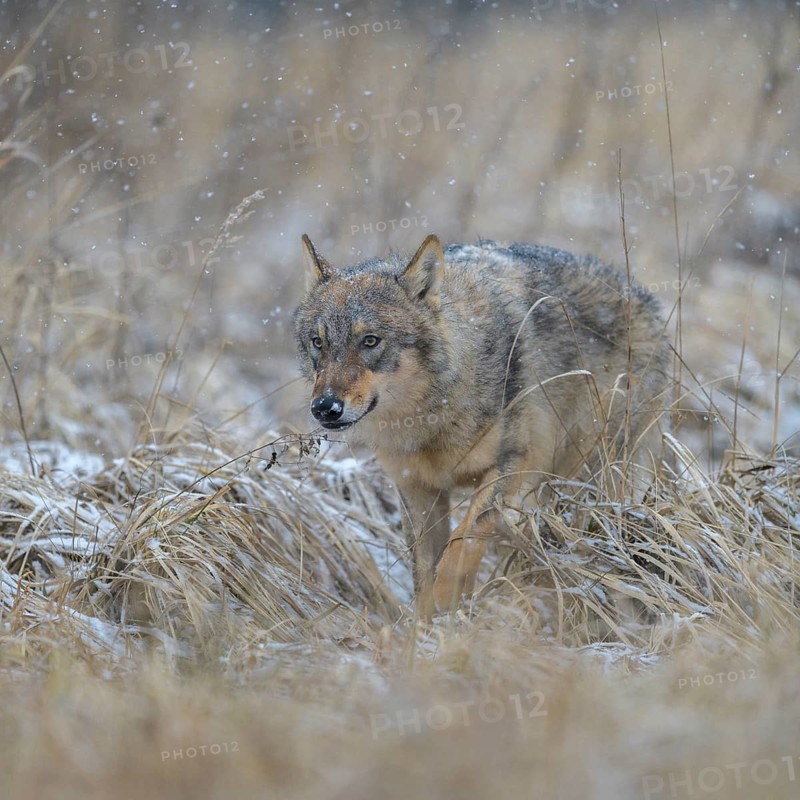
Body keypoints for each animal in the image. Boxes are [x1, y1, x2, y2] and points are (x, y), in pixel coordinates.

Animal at [293, 234, 671, 615]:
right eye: (318, 342)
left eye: (370, 340)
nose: (325, 408)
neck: (431, 419)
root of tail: (640, 294)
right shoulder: (416, 489)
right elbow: (424, 571)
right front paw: (429, 624)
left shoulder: (515, 463)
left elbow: (462, 540)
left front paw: (449, 604)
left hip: (594, 477)